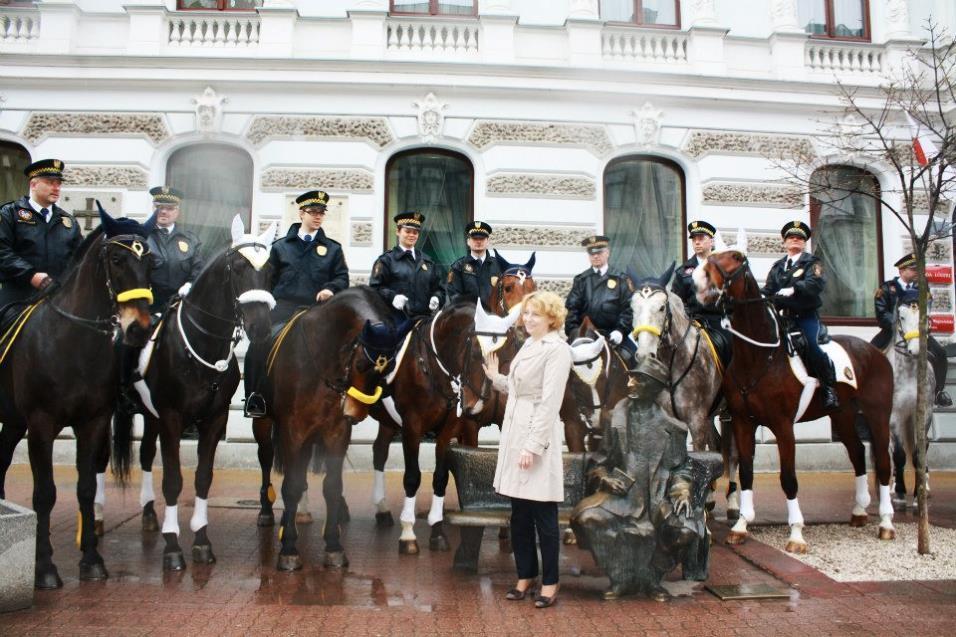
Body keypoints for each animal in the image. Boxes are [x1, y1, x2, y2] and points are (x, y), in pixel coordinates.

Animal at [0, 207, 152, 588]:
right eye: (116, 259)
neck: (72, 342)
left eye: (151, 261)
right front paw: (44, 567)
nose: (140, 328)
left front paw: (92, 560)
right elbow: (45, 494)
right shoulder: (41, 425)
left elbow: (85, 488)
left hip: (13, 422)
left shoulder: (93, 422)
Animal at [113, 216, 276, 568]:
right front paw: (173, 546)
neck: (201, 346)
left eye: (270, 268)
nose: (260, 328)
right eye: (238, 267)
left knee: (145, 454)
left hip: (151, 416)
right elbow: (174, 480)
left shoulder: (214, 419)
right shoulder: (173, 418)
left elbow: (203, 477)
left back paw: (148, 513)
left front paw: (201, 540)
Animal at [696, 250, 896, 552]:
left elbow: (788, 478)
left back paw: (885, 522)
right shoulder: (743, 422)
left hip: (877, 414)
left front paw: (796, 534)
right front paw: (741, 525)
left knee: (883, 461)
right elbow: (746, 472)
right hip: (842, 414)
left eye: (733, 259)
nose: (699, 283)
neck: (759, 356)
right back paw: (859, 511)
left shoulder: (782, 426)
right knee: (858, 452)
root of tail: (875, 351)